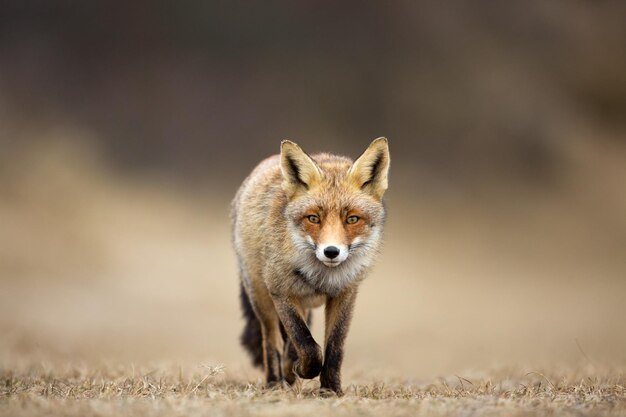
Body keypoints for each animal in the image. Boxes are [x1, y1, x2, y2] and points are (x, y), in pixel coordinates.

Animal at [232, 138, 388, 394]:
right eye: (313, 218)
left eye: (352, 219)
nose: (331, 251)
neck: (322, 277)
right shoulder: (280, 291)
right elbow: (308, 345)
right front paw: (302, 370)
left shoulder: (345, 294)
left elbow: (334, 347)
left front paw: (331, 390)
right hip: (261, 297)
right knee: (271, 340)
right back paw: (275, 382)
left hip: (301, 302)